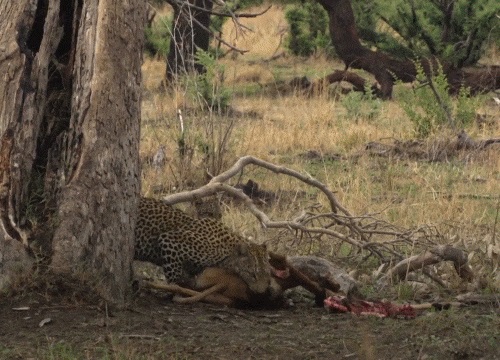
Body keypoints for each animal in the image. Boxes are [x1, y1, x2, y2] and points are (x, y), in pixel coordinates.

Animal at [135, 197, 272, 296]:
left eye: (267, 274)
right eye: (252, 274)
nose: (262, 293)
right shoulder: (170, 239)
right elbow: (174, 275)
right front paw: (174, 289)